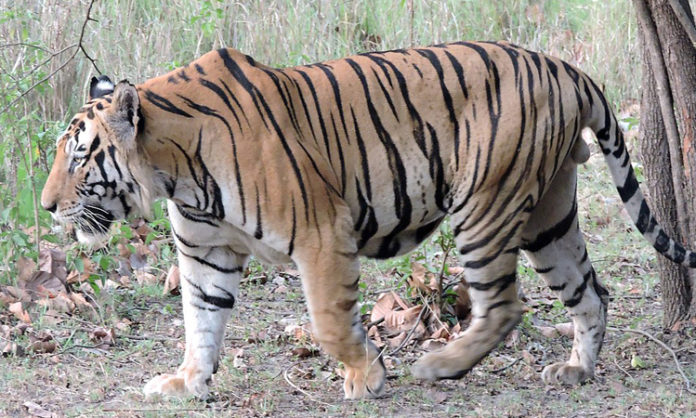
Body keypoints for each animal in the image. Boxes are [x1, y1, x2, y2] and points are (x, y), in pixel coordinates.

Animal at [40, 41, 696, 400]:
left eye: (79, 155)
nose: (45, 207)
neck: (177, 172)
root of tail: (566, 68)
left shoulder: (321, 235)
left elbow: (330, 323)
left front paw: (368, 376)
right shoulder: (206, 253)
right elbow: (200, 324)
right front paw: (186, 382)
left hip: (484, 205)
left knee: (506, 305)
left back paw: (441, 365)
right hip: (548, 217)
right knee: (590, 292)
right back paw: (576, 370)